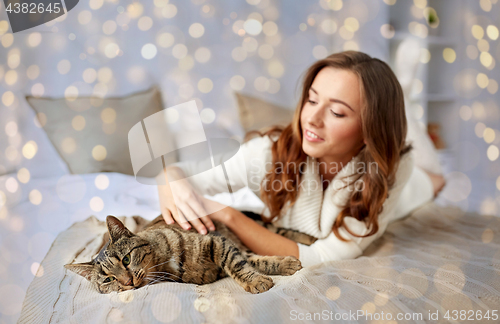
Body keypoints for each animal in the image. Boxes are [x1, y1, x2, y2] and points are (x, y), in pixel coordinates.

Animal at [65, 215, 316, 294]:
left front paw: (258, 280)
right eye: (108, 279)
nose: (127, 282)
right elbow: (254, 261)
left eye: (126, 259)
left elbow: (237, 264)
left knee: (281, 230)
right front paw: (283, 267)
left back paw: (311, 240)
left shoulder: (216, 242)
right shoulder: (227, 253)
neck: (164, 265)